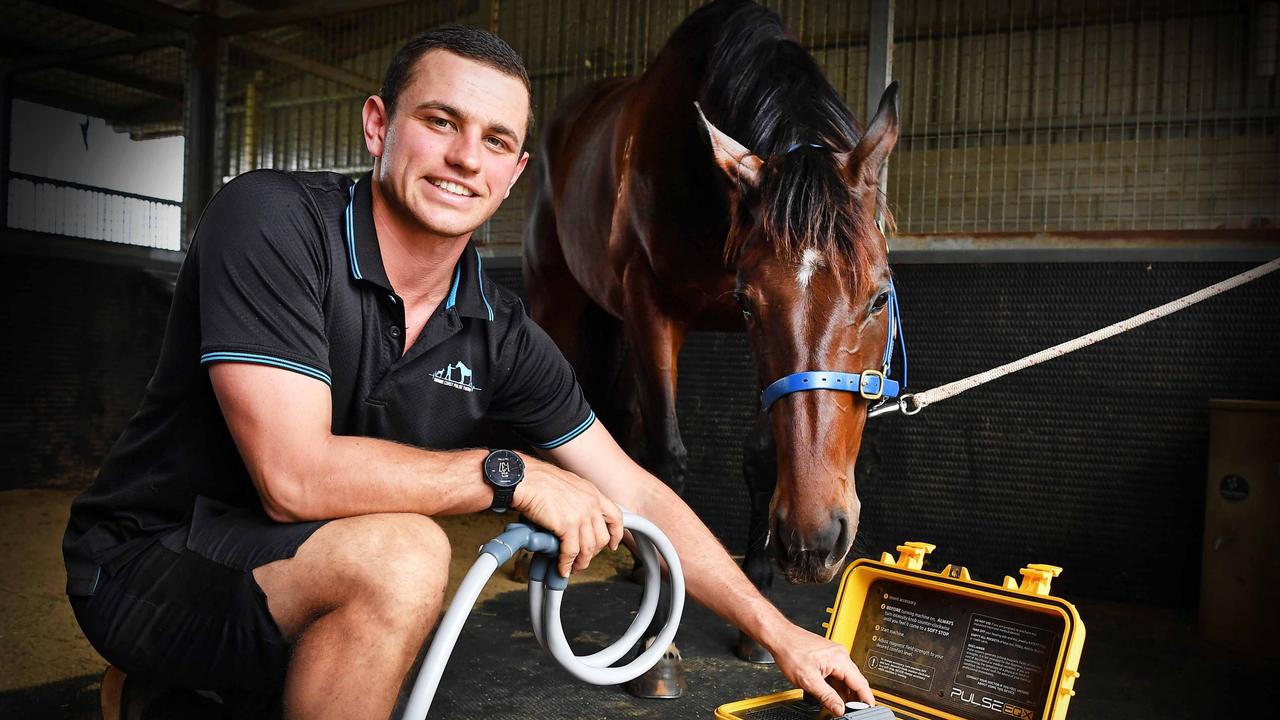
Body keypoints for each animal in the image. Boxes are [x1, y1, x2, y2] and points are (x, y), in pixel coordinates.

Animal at [519, 0, 901, 671]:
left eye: (880, 296)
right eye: (748, 304)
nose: (815, 541)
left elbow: (760, 455)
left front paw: (758, 605)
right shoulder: (651, 306)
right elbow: (667, 458)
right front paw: (657, 636)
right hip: (557, 299)